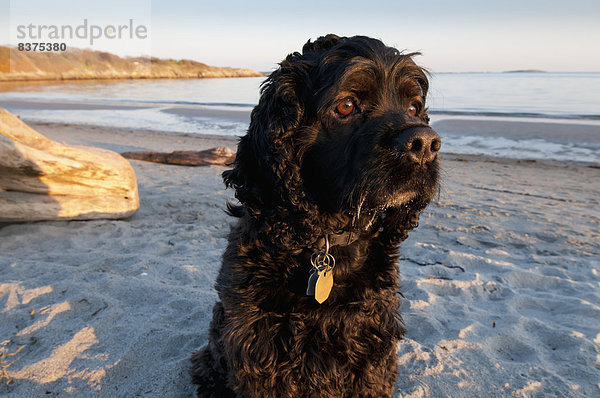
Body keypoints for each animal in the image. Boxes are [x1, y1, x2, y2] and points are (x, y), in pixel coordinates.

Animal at [191, 35, 440, 398]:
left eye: (412, 107)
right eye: (346, 105)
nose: (424, 144)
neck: (327, 242)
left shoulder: (372, 349)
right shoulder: (257, 349)